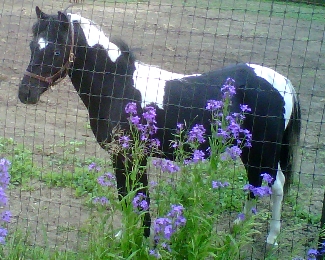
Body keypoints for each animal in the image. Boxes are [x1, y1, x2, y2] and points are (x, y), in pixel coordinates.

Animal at [19, 6, 300, 246]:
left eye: (57, 51)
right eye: (32, 46)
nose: (25, 93)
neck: (119, 87)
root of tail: (283, 82)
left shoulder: (133, 155)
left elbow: (140, 196)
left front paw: (143, 239)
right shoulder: (120, 157)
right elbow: (127, 195)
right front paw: (127, 234)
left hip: (261, 151)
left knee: (269, 185)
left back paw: (265, 237)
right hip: (250, 149)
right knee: (264, 185)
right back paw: (246, 229)